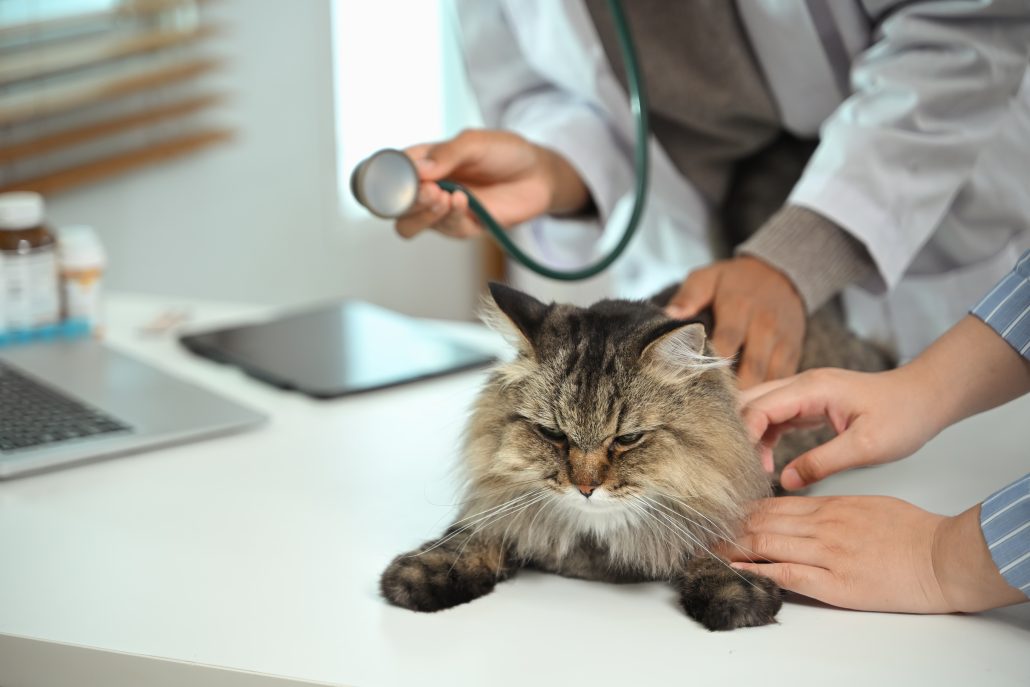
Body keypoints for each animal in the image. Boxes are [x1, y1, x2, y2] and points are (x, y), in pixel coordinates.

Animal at [379, 282, 894, 630]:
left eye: (627, 439)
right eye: (552, 434)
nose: (585, 487)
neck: (595, 550)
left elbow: (719, 541)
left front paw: (734, 592)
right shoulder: (499, 504)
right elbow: (472, 535)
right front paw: (423, 572)